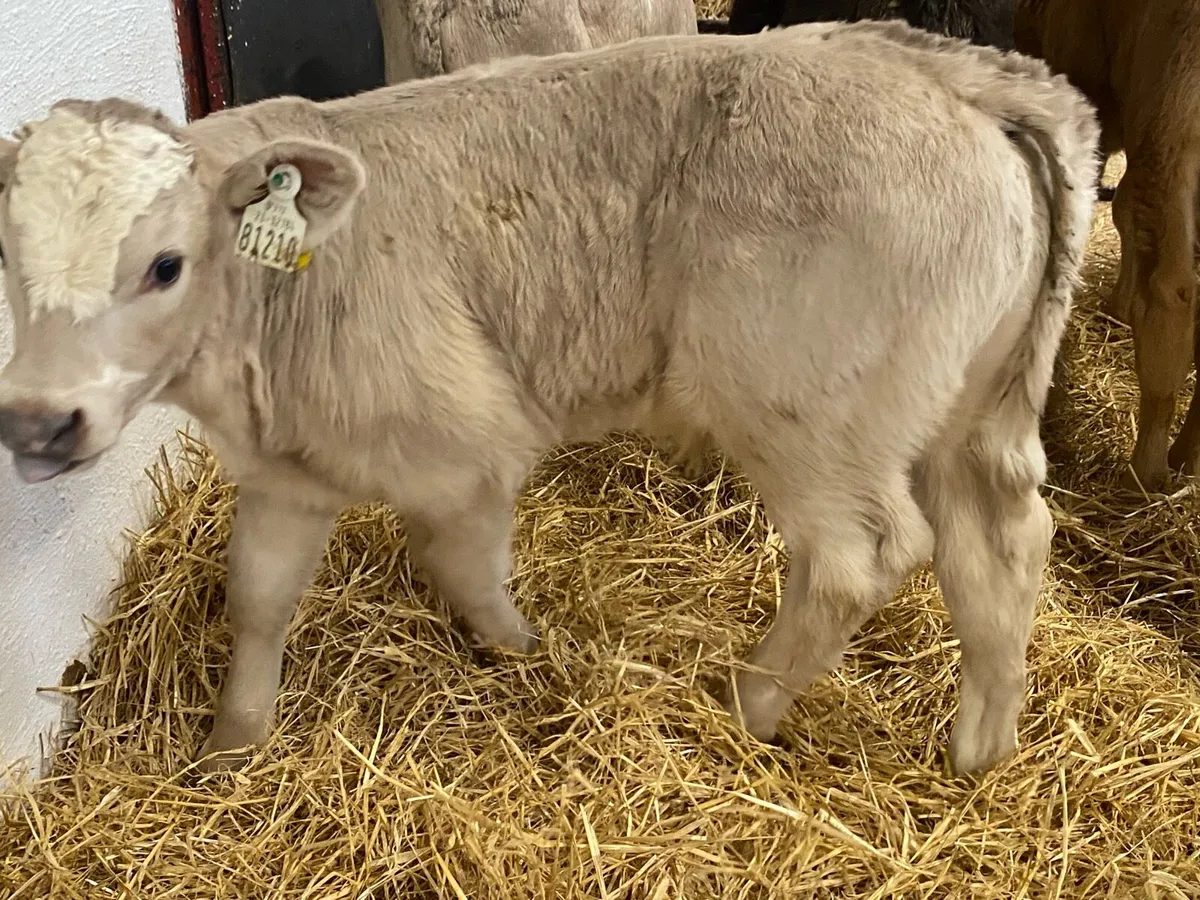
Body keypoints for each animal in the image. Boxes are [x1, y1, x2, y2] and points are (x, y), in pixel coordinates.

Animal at [0, 21, 1099, 777]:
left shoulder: (468, 447)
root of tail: (946, 71)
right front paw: (230, 749)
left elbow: (465, 570)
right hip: (970, 407)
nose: (39, 420)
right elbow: (258, 596)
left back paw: (740, 709)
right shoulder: (290, 470)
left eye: (165, 265)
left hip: (811, 414)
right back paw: (979, 751)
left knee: (858, 559)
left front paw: (533, 661)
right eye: (8, 259)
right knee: (1000, 541)